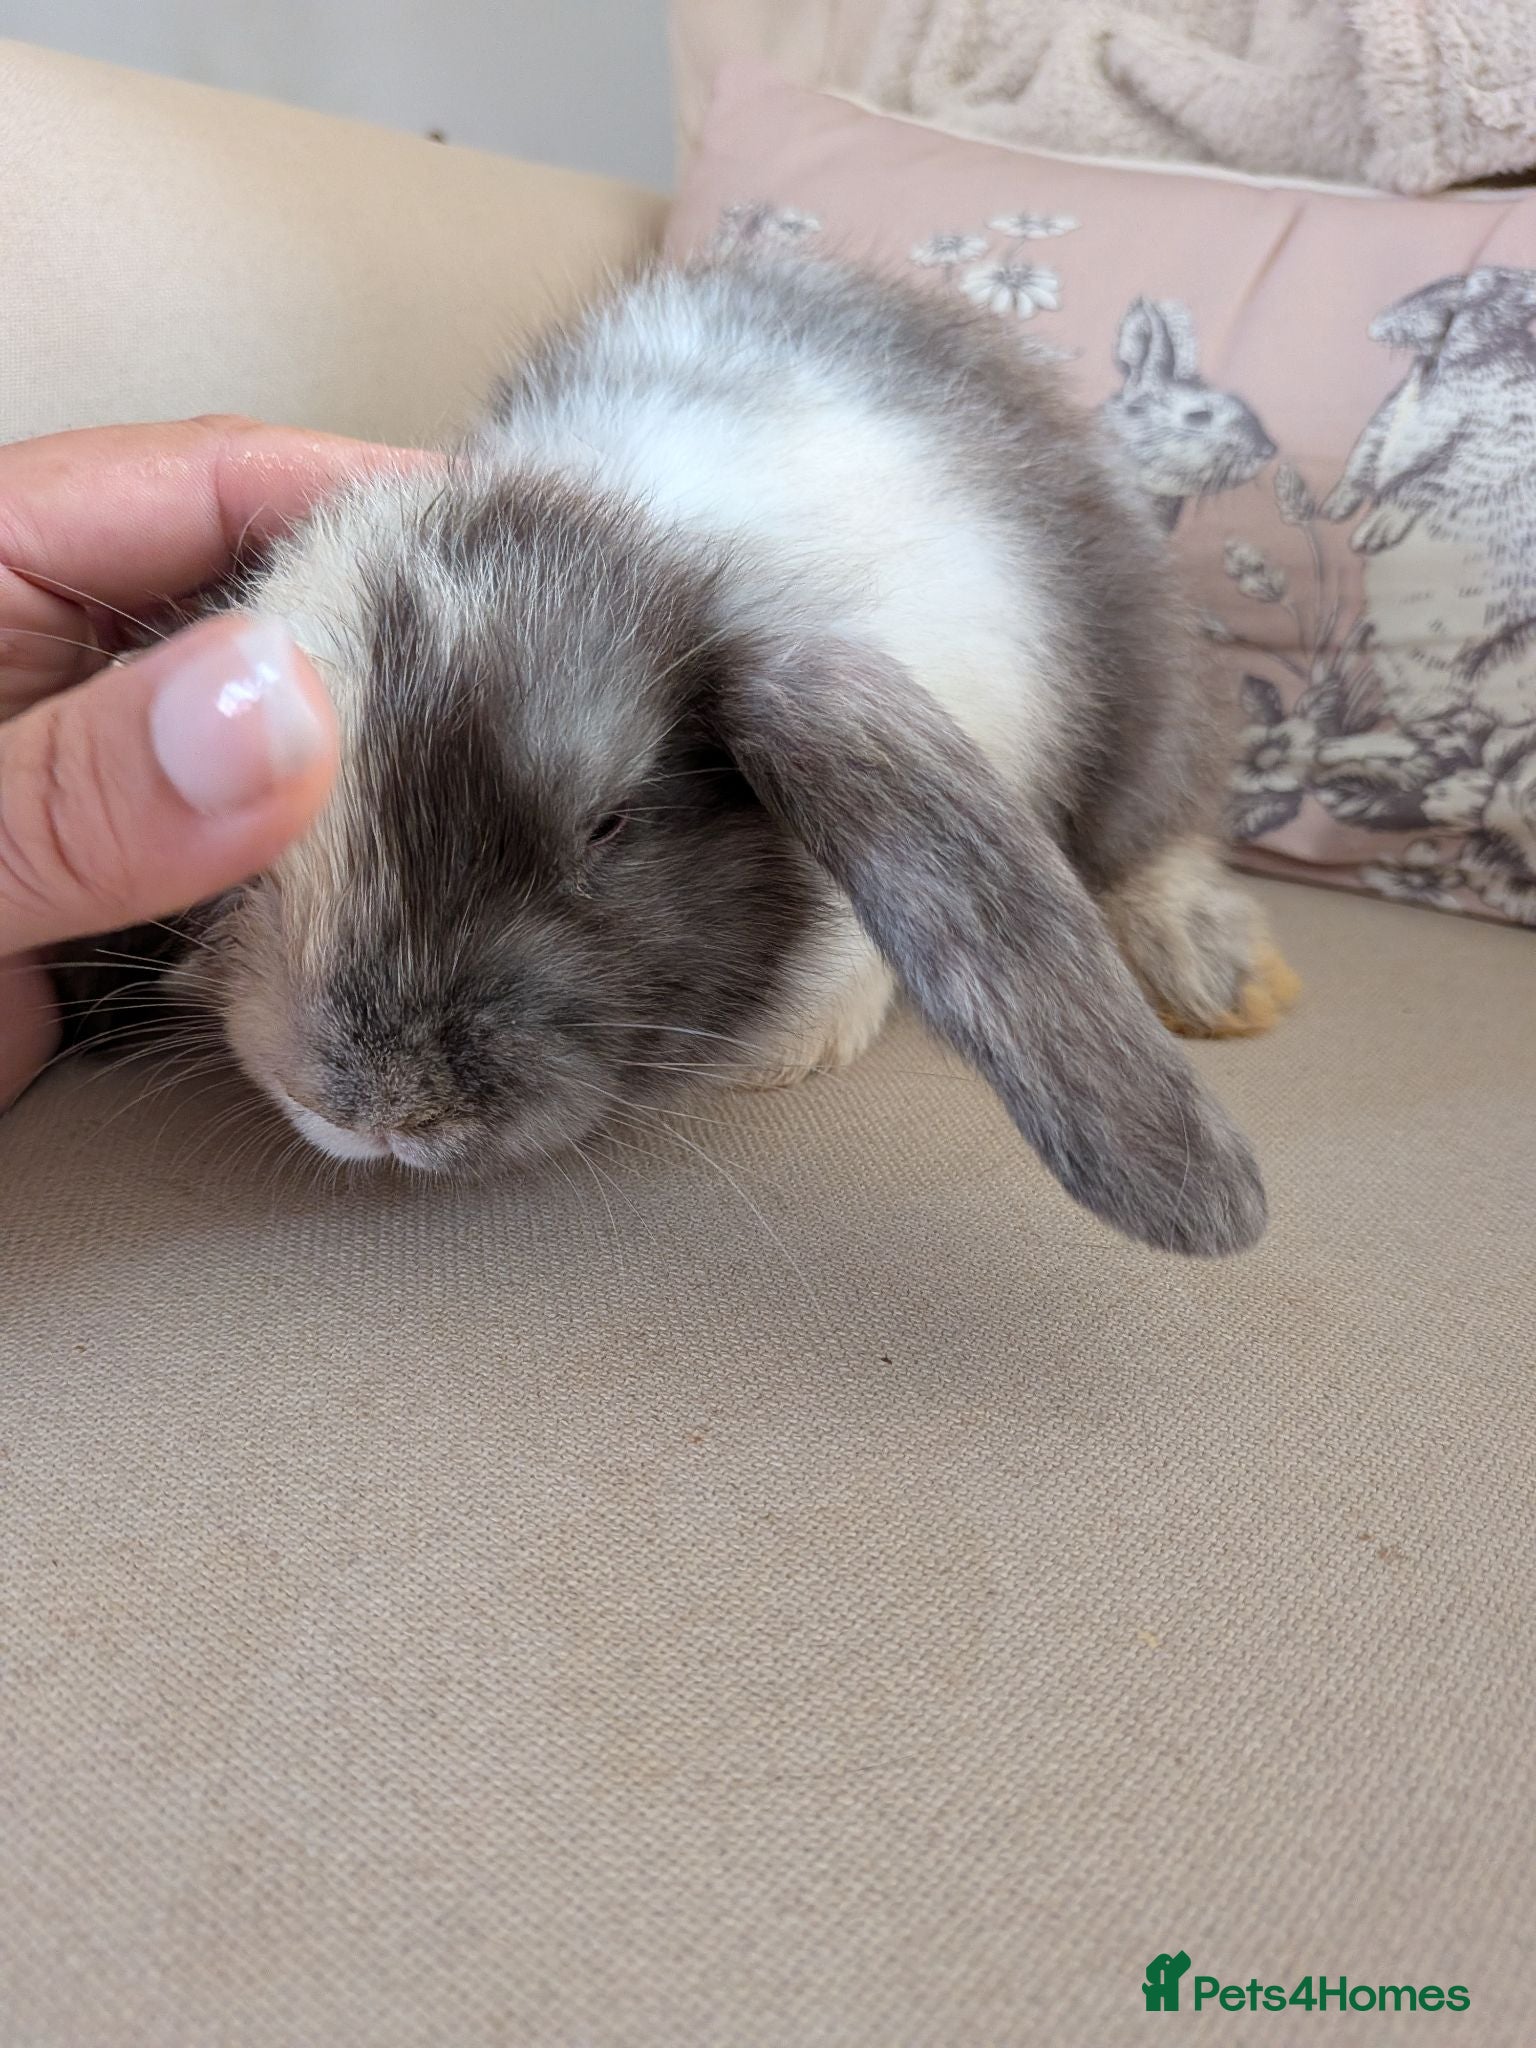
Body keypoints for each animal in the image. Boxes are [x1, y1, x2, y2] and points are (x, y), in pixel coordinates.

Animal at [1322, 265, 1536, 732]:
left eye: (1473, 289)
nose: (1373, 327)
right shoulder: (1393, 404)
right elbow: (1371, 443)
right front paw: (1333, 507)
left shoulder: (1505, 434)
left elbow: (1441, 472)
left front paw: (1374, 530)